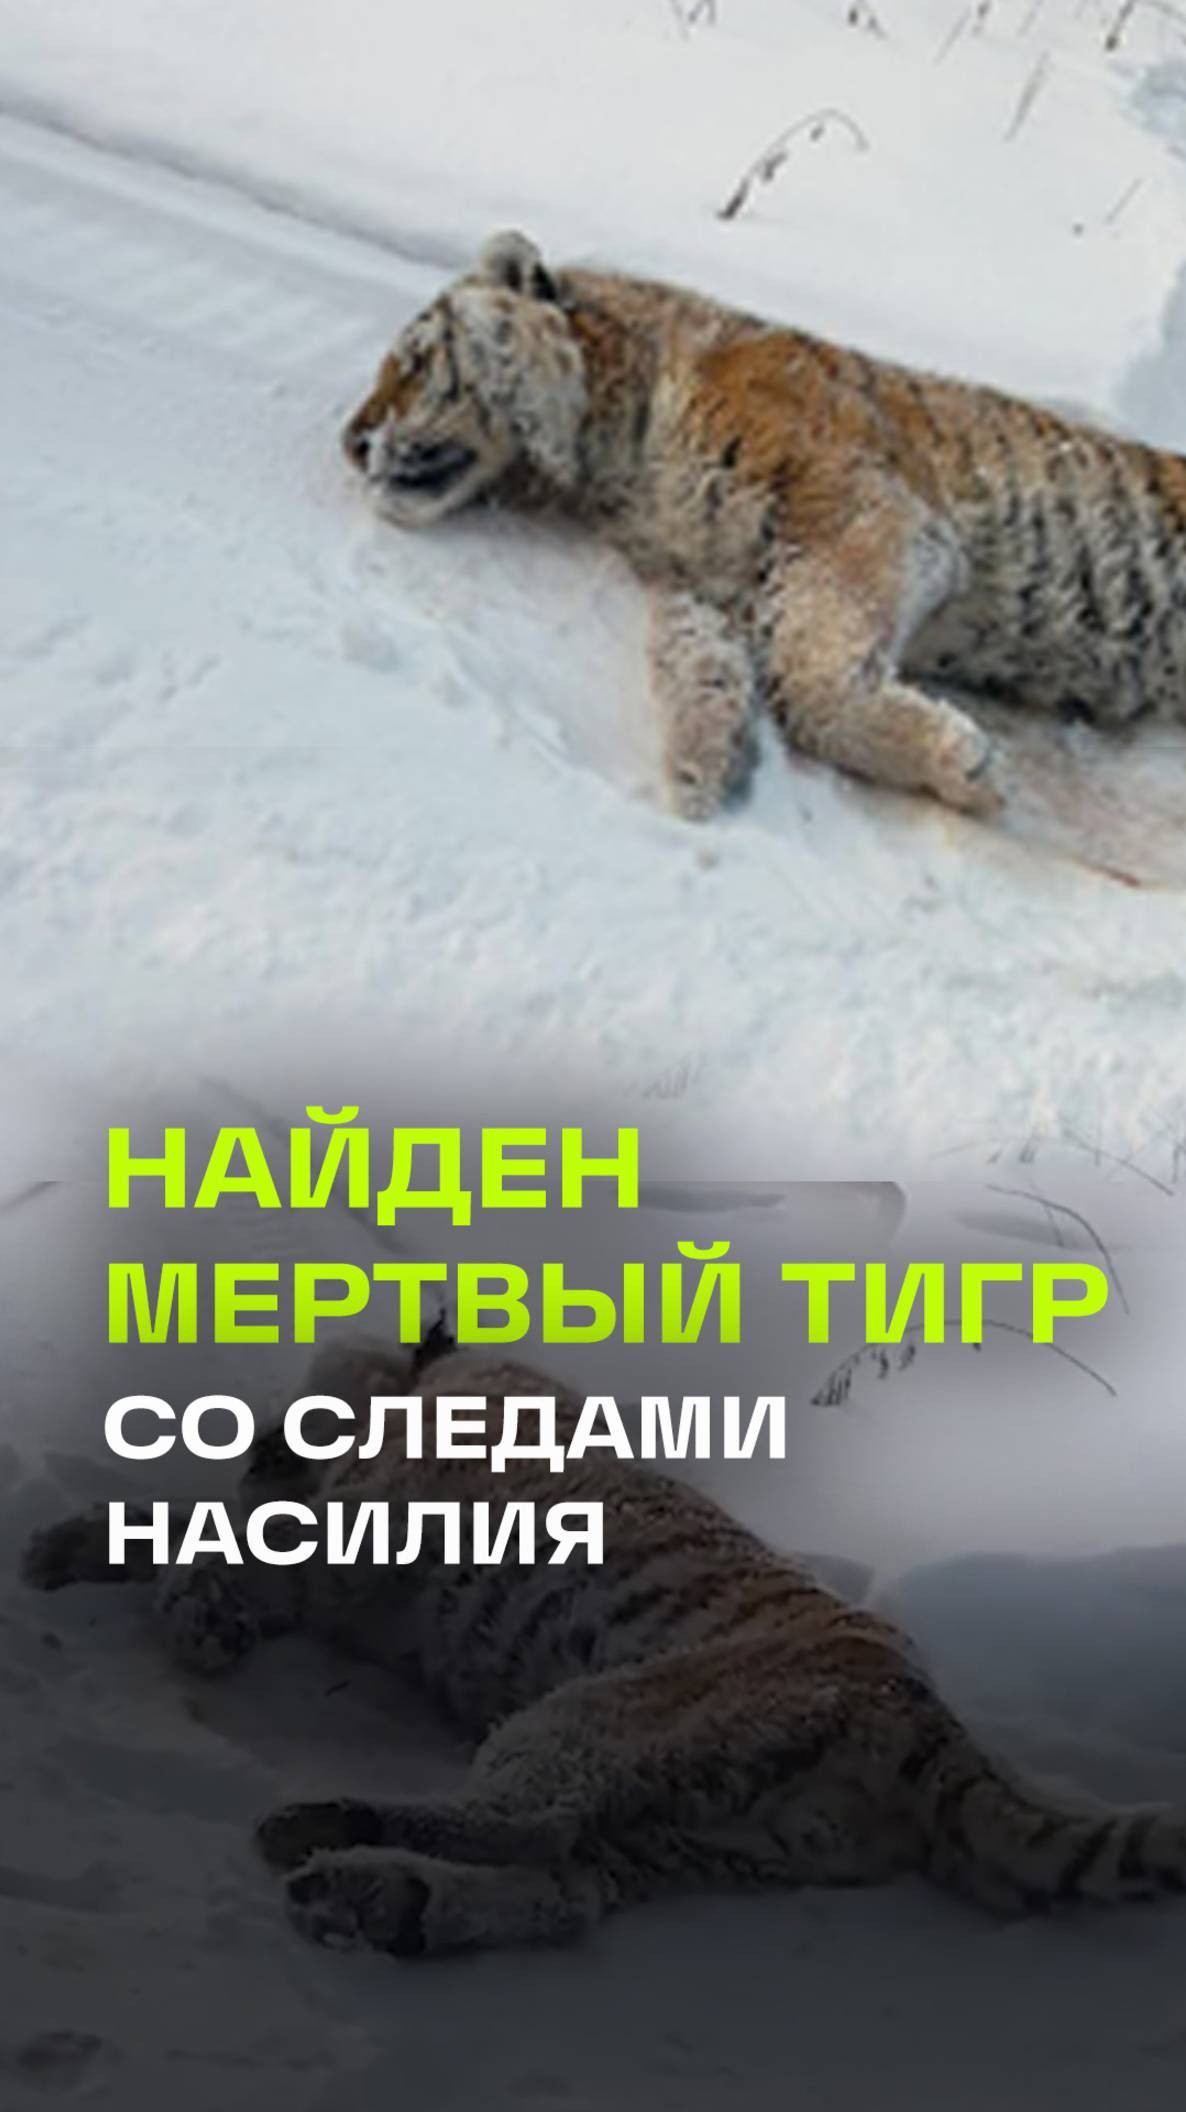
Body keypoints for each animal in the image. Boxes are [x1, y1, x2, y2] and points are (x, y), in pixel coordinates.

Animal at [21, 1328, 1186, 1958]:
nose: (262, 1442)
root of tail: (932, 1721)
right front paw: (76, 1551)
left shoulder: (343, 1539)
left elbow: (203, 1528)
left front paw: (167, 1597)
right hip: (715, 1833)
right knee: (565, 1886)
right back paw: (376, 1897)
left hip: (599, 1720)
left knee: (524, 1824)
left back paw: (320, 1837)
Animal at [340, 229, 1186, 821]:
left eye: (415, 360)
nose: (351, 443)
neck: (607, 470)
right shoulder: (702, 580)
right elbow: (694, 660)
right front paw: (695, 776)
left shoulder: (858, 513)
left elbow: (809, 685)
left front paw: (964, 764)